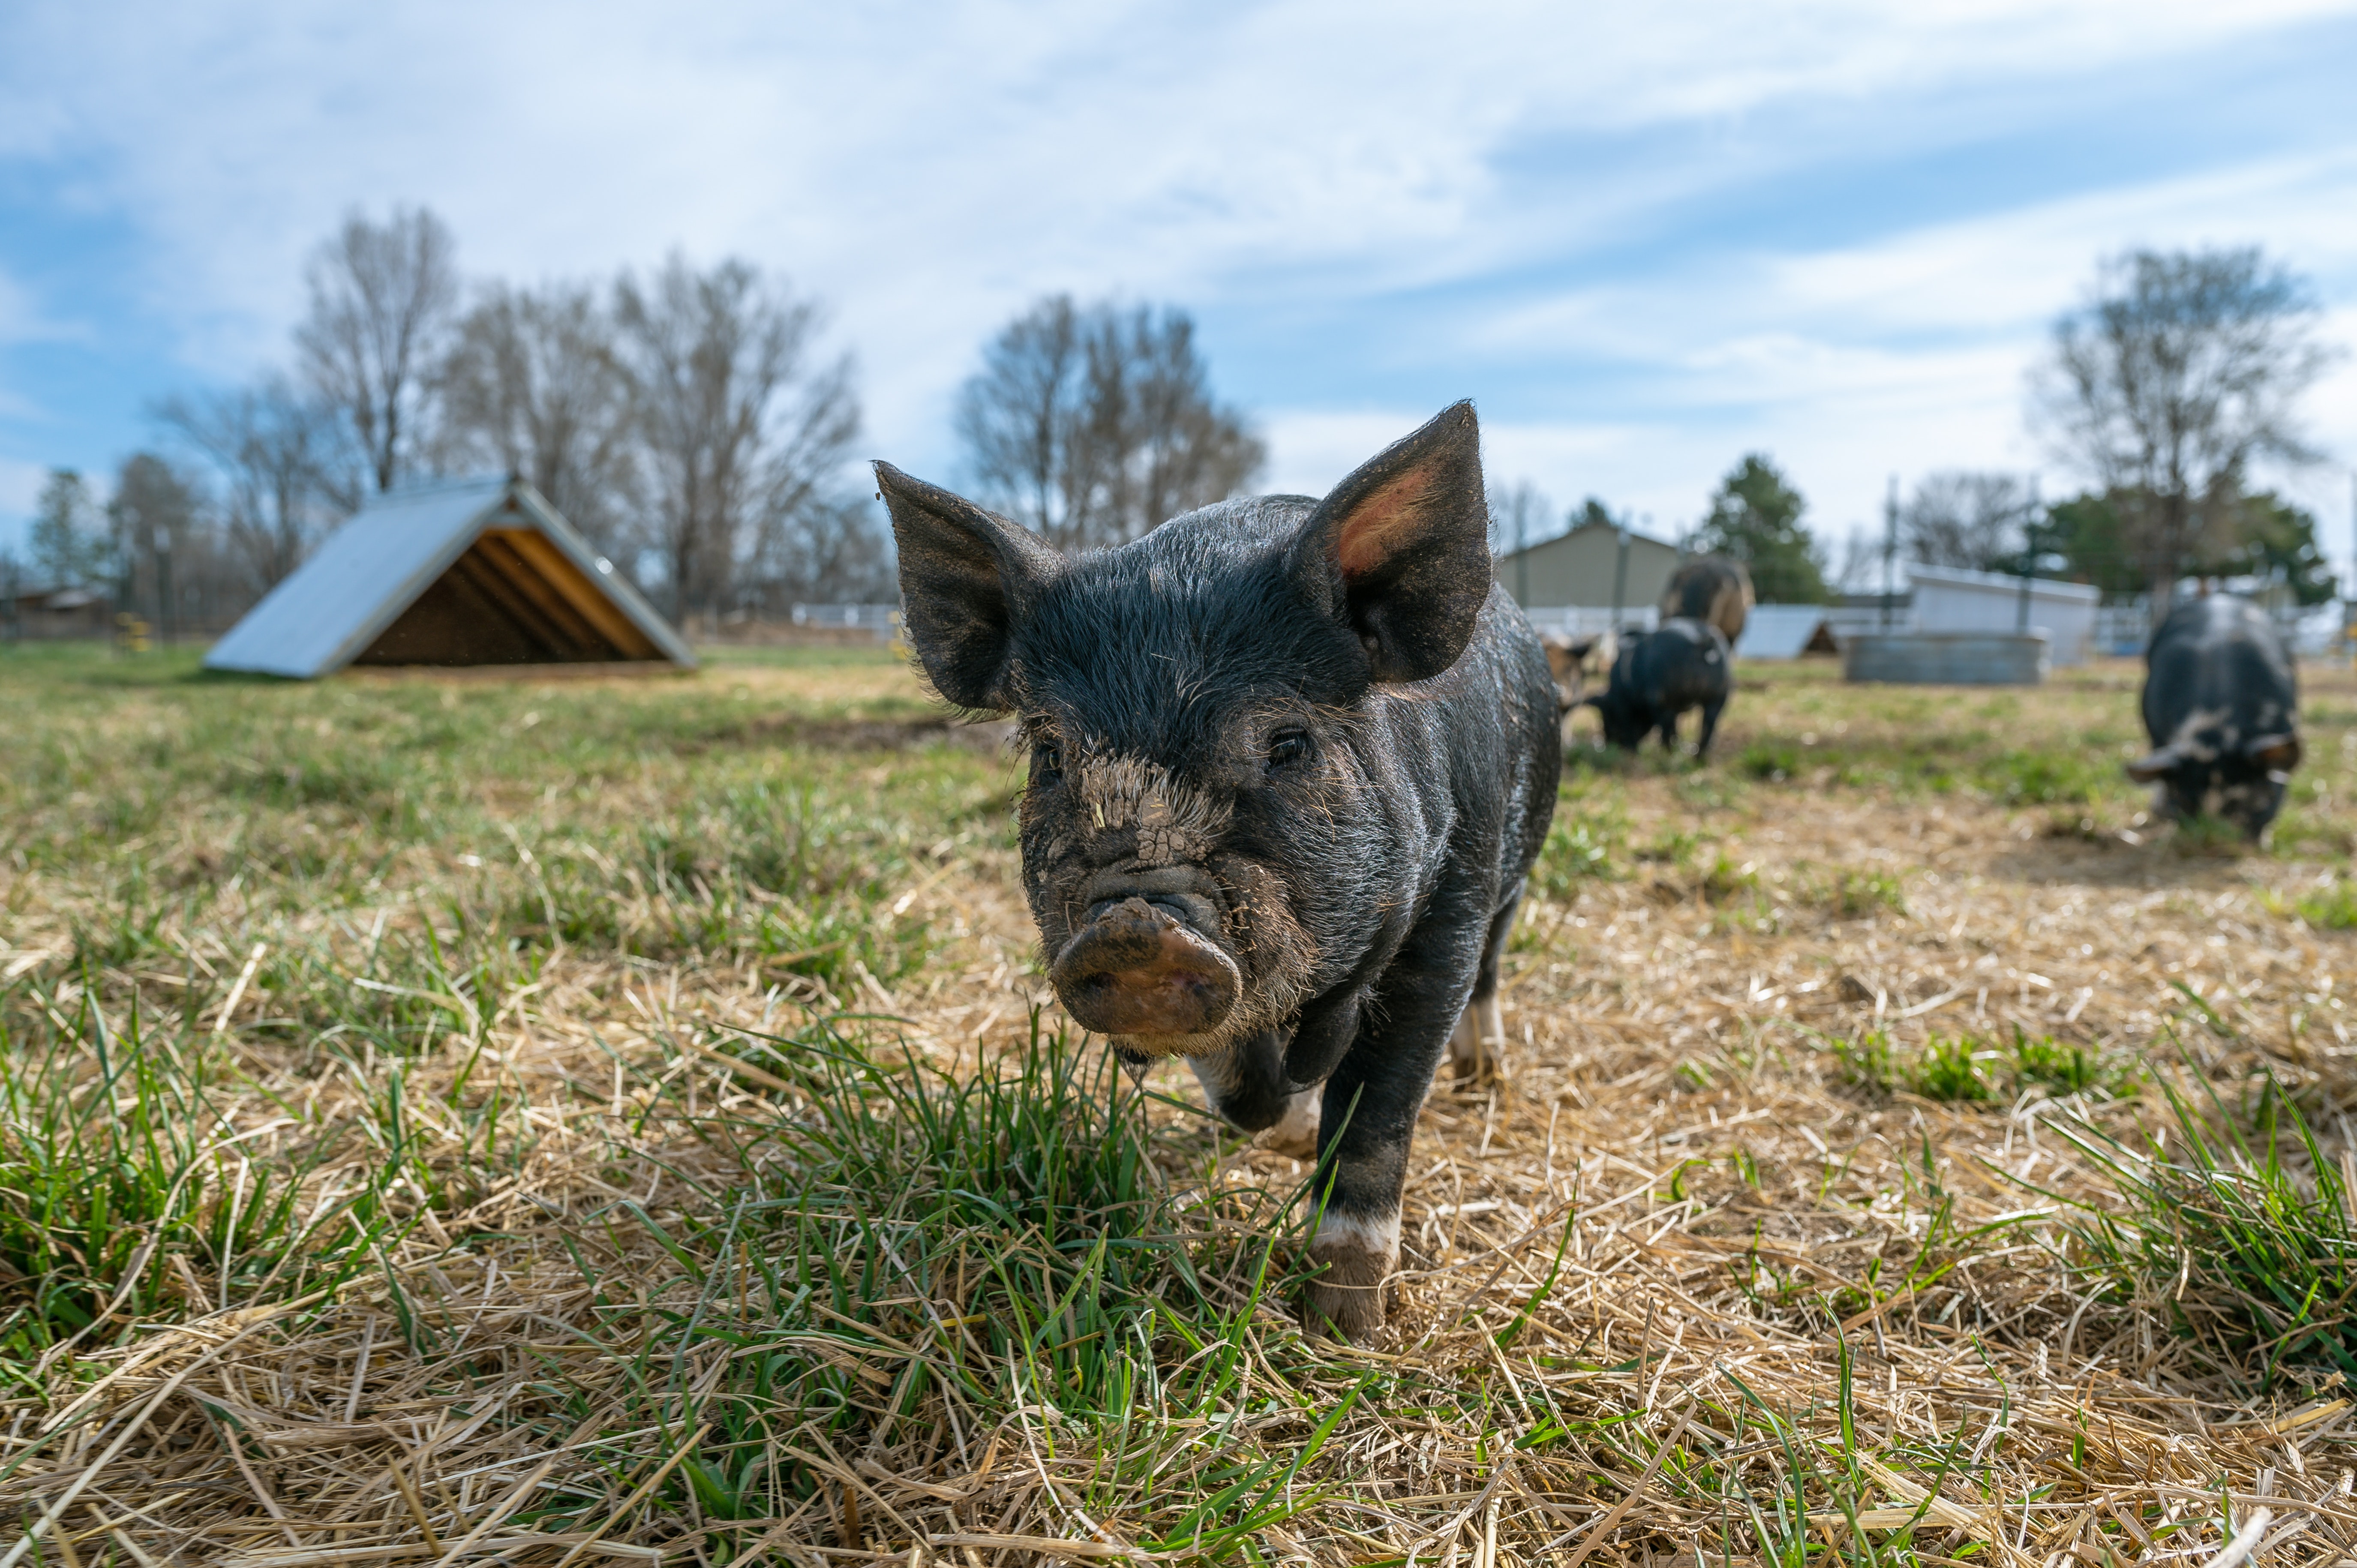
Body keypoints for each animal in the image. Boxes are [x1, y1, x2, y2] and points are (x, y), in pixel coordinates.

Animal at [877, 401, 1555, 1330]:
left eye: (1288, 743)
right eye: (1051, 755)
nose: (1135, 925)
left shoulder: (1447, 907)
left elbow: (1377, 1115)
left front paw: (1341, 1324)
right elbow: (1242, 1083)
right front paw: (1282, 1122)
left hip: (1513, 874)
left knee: (1491, 969)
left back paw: (1483, 1072)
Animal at [1584, 613, 1735, 754]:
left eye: (1607, 715)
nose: (1610, 744)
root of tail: (1700, 641)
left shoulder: (1622, 702)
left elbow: (1628, 724)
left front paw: (1633, 750)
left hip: (1665, 695)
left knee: (1668, 725)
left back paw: (1666, 753)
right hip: (1719, 695)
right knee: (1708, 724)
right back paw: (1698, 756)